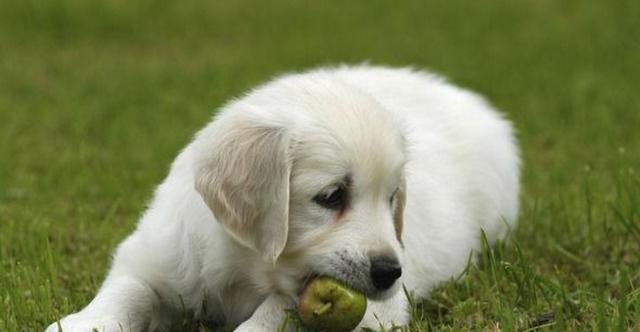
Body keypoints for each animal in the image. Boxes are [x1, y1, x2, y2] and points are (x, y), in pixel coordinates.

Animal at [46, 65, 520, 332]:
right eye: (331, 196)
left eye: (392, 199)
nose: (390, 272)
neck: (245, 267)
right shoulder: (156, 253)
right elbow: (128, 289)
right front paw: (84, 323)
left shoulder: (375, 312)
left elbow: (278, 310)